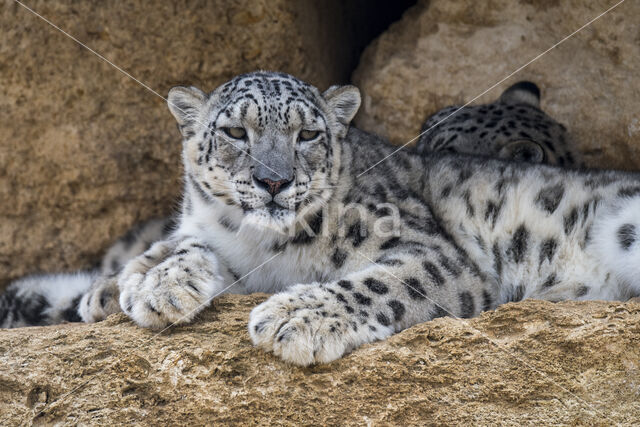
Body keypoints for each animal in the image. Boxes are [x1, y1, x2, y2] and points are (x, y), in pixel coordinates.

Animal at [1, 71, 640, 368]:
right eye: (236, 132)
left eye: (308, 134)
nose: (274, 181)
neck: (261, 250)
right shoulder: (207, 235)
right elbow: (179, 244)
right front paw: (153, 284)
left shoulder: (433, 252)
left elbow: (383, 282)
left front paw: (294, 317)